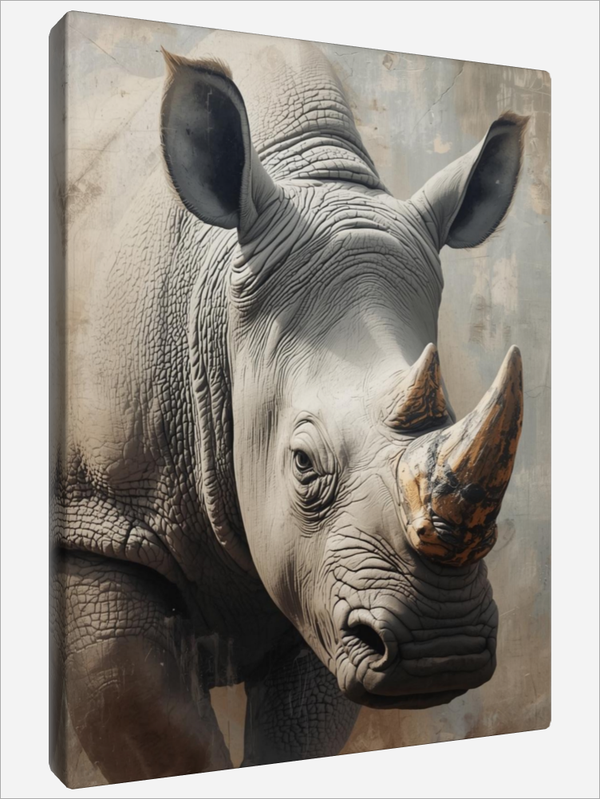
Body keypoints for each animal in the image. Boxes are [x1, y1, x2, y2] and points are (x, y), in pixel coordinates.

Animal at [51, 38, 527, 785]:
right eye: (302, 461)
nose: (440, 650)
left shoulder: (324, 574)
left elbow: (297, 731)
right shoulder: (97, 521)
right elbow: (159, 730)